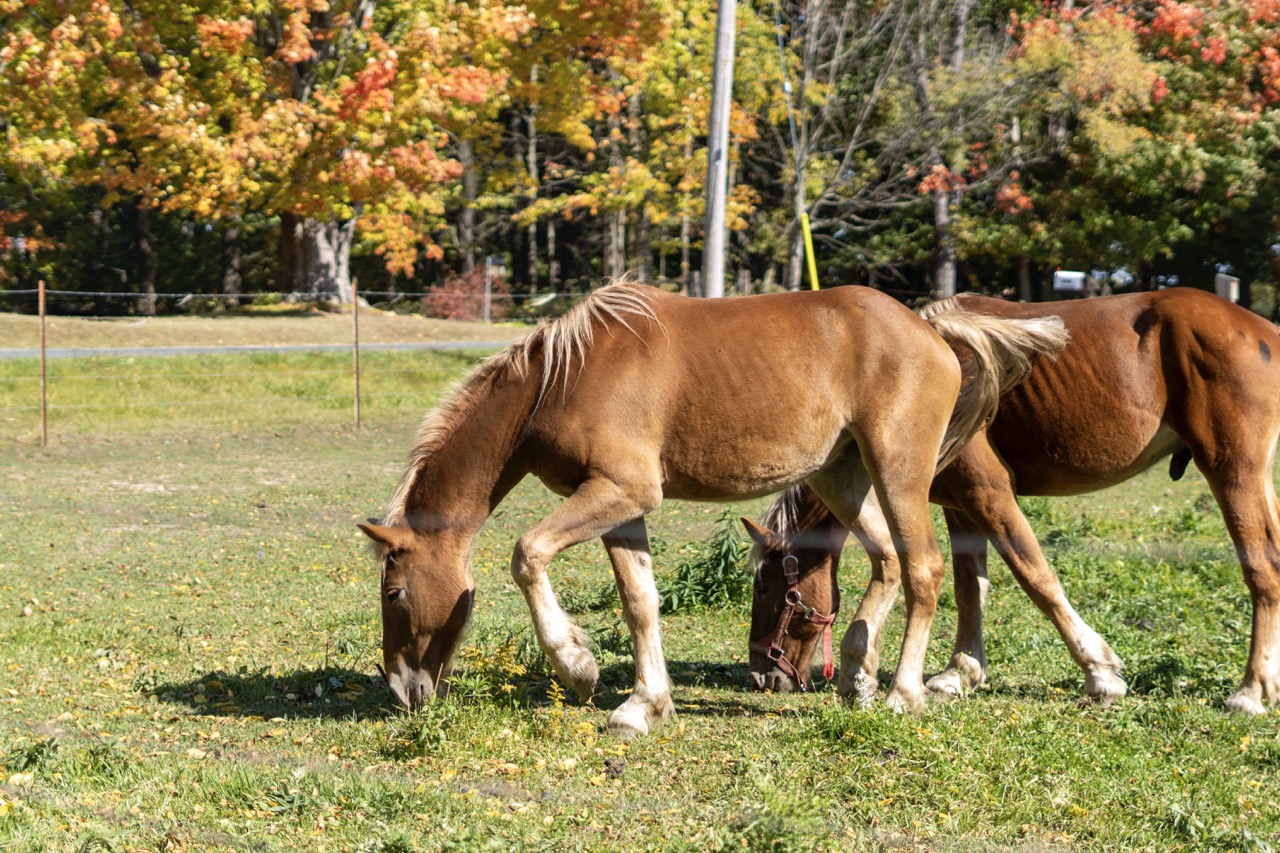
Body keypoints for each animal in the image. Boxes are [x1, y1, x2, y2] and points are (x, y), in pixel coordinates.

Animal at [355, 280, 1064, 732]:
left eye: (394, 593)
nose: (401, 689)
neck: (561, 378)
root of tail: (931, 330)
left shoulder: (619, 492)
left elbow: (526, 554)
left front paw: (578, 666)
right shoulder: (622, 506)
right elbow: (640, 602)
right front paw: (645, 704)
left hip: (899, 471)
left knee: (923, 569)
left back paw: (902, 694)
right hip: (841, 477)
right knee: (887, 563)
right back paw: (856, 676)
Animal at [747, 289, 1280, 712]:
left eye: (768, 588)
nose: (761, 675)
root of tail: (1262, 328)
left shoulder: (988, 493)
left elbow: (1036, 577)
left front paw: (1100, 673)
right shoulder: (958, 504)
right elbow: (969, 587)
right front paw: (959, 672)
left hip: (1233, 473)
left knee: (1263, 569)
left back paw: (1250, 691)